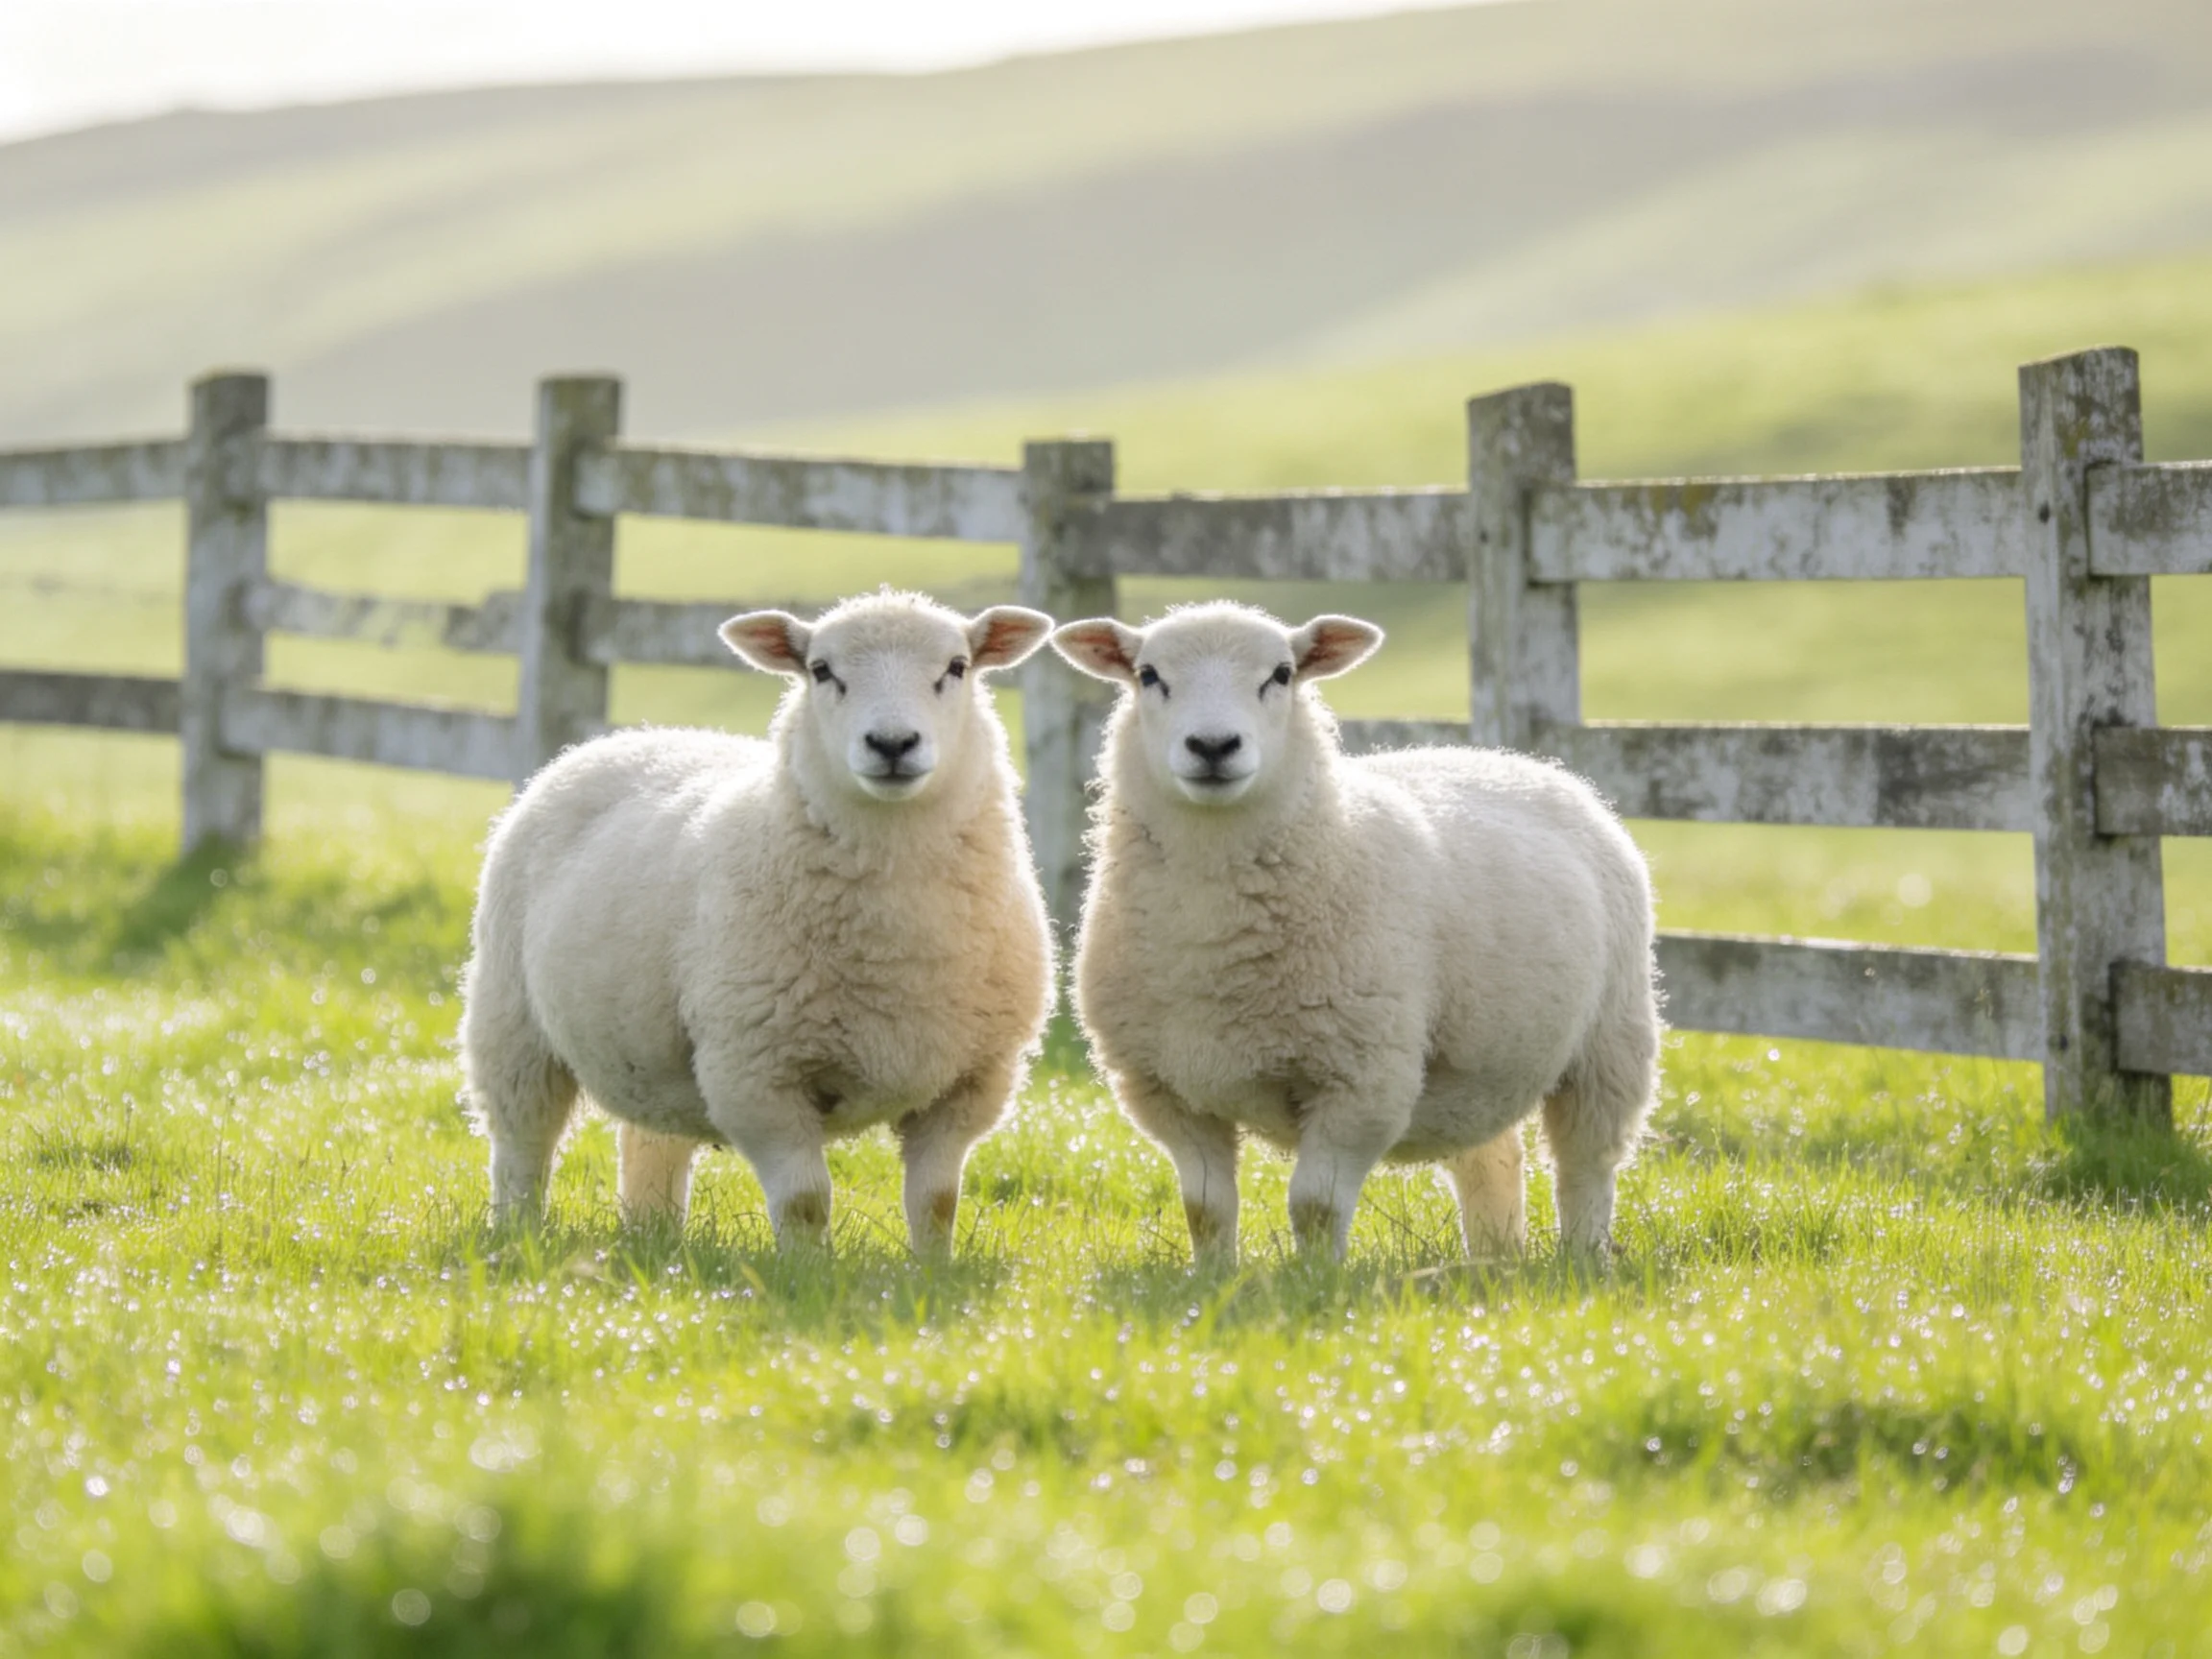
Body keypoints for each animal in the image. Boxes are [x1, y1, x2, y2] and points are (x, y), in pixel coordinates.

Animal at [459, 590, 1057, 1254]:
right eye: (821, 670)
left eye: (957, 667)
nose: (893, 743)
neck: (897, 939)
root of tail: (627, 738)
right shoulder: (757, 1076)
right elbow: (804, 1202)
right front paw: (807, 1272)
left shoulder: (971, 1082)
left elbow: (938, 1202)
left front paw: (932, 1269)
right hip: (512, 1024)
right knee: (521, 1147)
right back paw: (517, 1236)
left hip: (656, 1054)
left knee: (651, 1144)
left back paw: (654, 1240)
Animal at [1052, 601, 1659, 1264]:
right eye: (1149, 675)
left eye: (1282, 674)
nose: (1213, 745)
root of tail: (1518, 761)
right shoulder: (1165, 1088)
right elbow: (1205, 1209)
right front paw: (1212, 1276)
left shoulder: (1361, 1080)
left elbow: (1315, 1206)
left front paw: (1316, 1278)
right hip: (1479, 1069)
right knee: (1491, 1160)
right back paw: (1491, 1261)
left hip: (1610, 1042)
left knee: (1586, 1165)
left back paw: (1583, 1258)